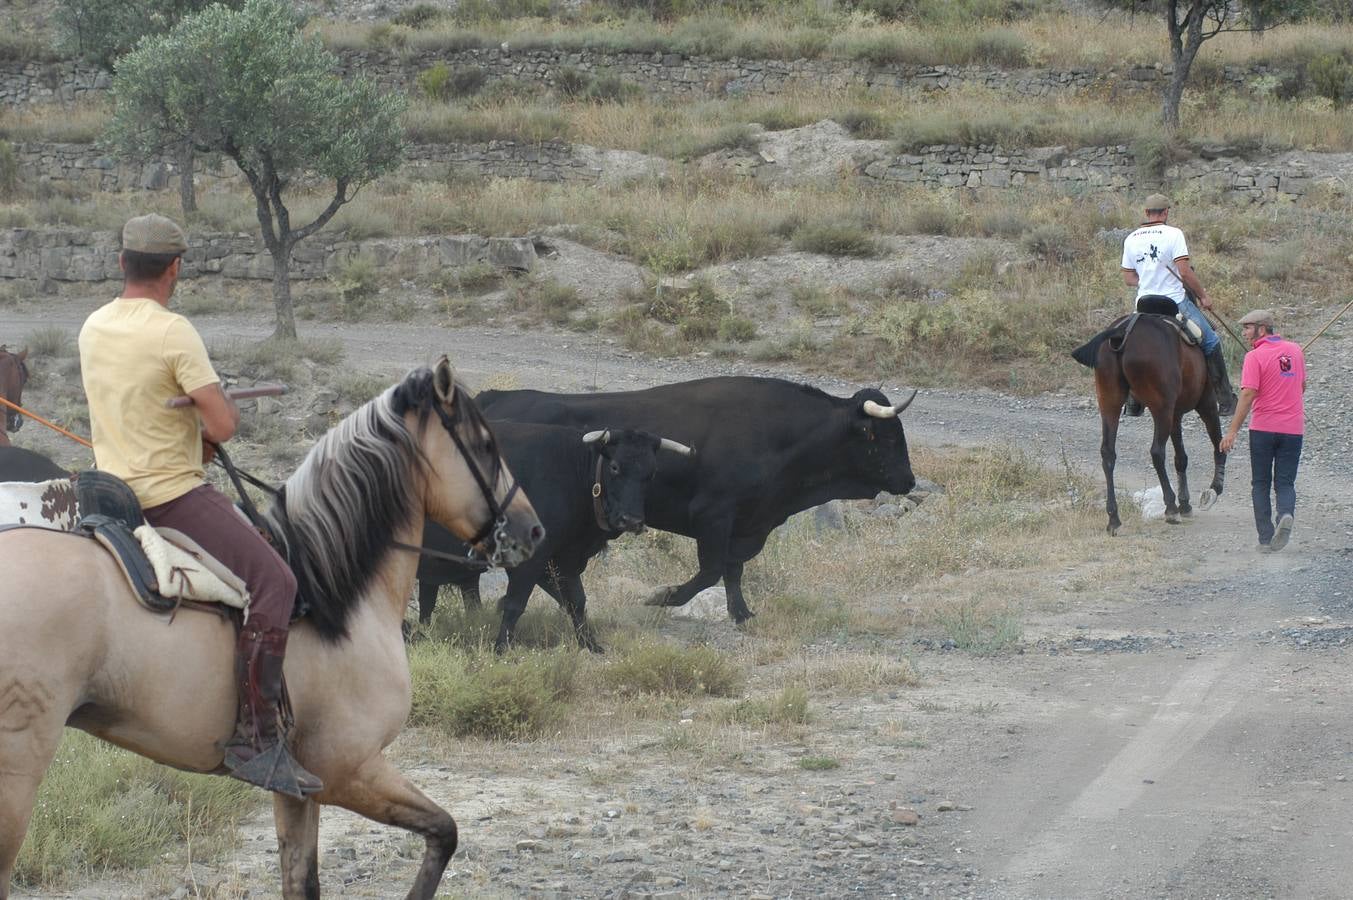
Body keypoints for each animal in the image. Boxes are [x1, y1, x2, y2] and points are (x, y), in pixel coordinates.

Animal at [6, 357, 543, 898]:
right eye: (486, 445)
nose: (532, 529)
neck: (336, 597)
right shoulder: (347, 770)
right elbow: (444, 831)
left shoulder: (299, 788)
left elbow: (302, 879)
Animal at [411, 424, 692, 649]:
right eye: (614, 467)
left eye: (651, 473)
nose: (632, 520)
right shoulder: (531, 561)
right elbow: (515, 604)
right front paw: (501, 647)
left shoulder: (564, 558)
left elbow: (577, 601)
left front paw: (590, 644)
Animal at [478, 376, 920, 622]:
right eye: (886, 436)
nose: (909, 480)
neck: (780, 434)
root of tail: (493, 397)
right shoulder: (714, 516)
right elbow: (711, 571)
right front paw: (663, 596)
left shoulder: (748, 525)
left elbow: (733, 570)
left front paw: (742, 613)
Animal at [1087, 312, 1228, 533]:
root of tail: (1123, 332)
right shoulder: (1206, 404)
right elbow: (1217, 444)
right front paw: (1214, 489)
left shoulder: (1176, 414)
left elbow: (1181, 458)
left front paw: (1185, 503)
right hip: (1162, 408)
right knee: (1157, 452)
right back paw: (1170, 508)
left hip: (1110, 402)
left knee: (1108, 453)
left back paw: (1114, 518)